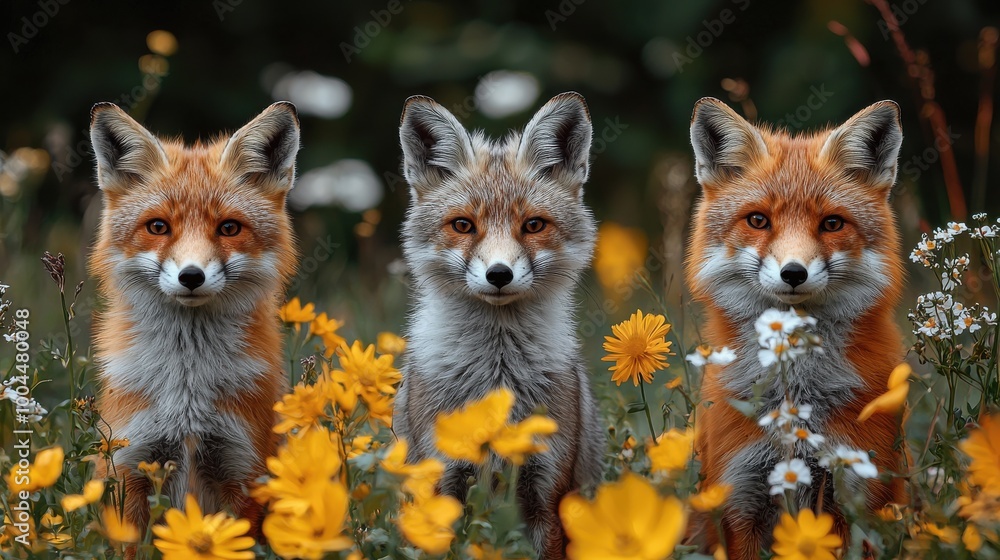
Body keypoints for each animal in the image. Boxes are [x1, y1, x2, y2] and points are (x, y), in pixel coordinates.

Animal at [88, 102, 300, 537]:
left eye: (229, 228)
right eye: (158, 227)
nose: (191, 276)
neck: (186, 388)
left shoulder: (243, 470)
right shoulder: (131, 466)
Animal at [392, 92, 605, 559]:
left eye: (533, 225)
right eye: (463, 225)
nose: (499, 274)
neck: (497, 372)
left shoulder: (547, 492)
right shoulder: (444, 482)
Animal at [685, 98, 906, 558]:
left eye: (832, 224)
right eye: (758, 220)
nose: (793, 273)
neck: (796, 399)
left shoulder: (853, 497)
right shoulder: (739, 499)